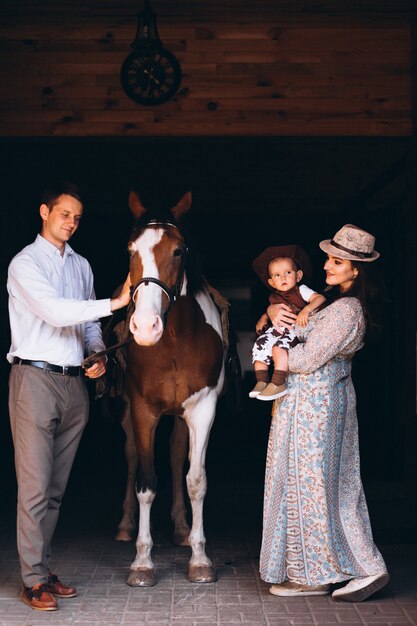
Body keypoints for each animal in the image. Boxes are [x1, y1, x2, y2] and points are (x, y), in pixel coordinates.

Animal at [116, 189, 228, 584]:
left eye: (179, 251)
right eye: (130, 249)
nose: (146, 327)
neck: (175, 342)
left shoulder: (203, 408)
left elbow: (196, 479)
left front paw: (200, 558)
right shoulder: (142, 409)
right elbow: (146, 481)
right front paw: (142, 562)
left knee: (178, 453)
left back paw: (181, 527)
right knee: (131, 456)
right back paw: (125, 525)